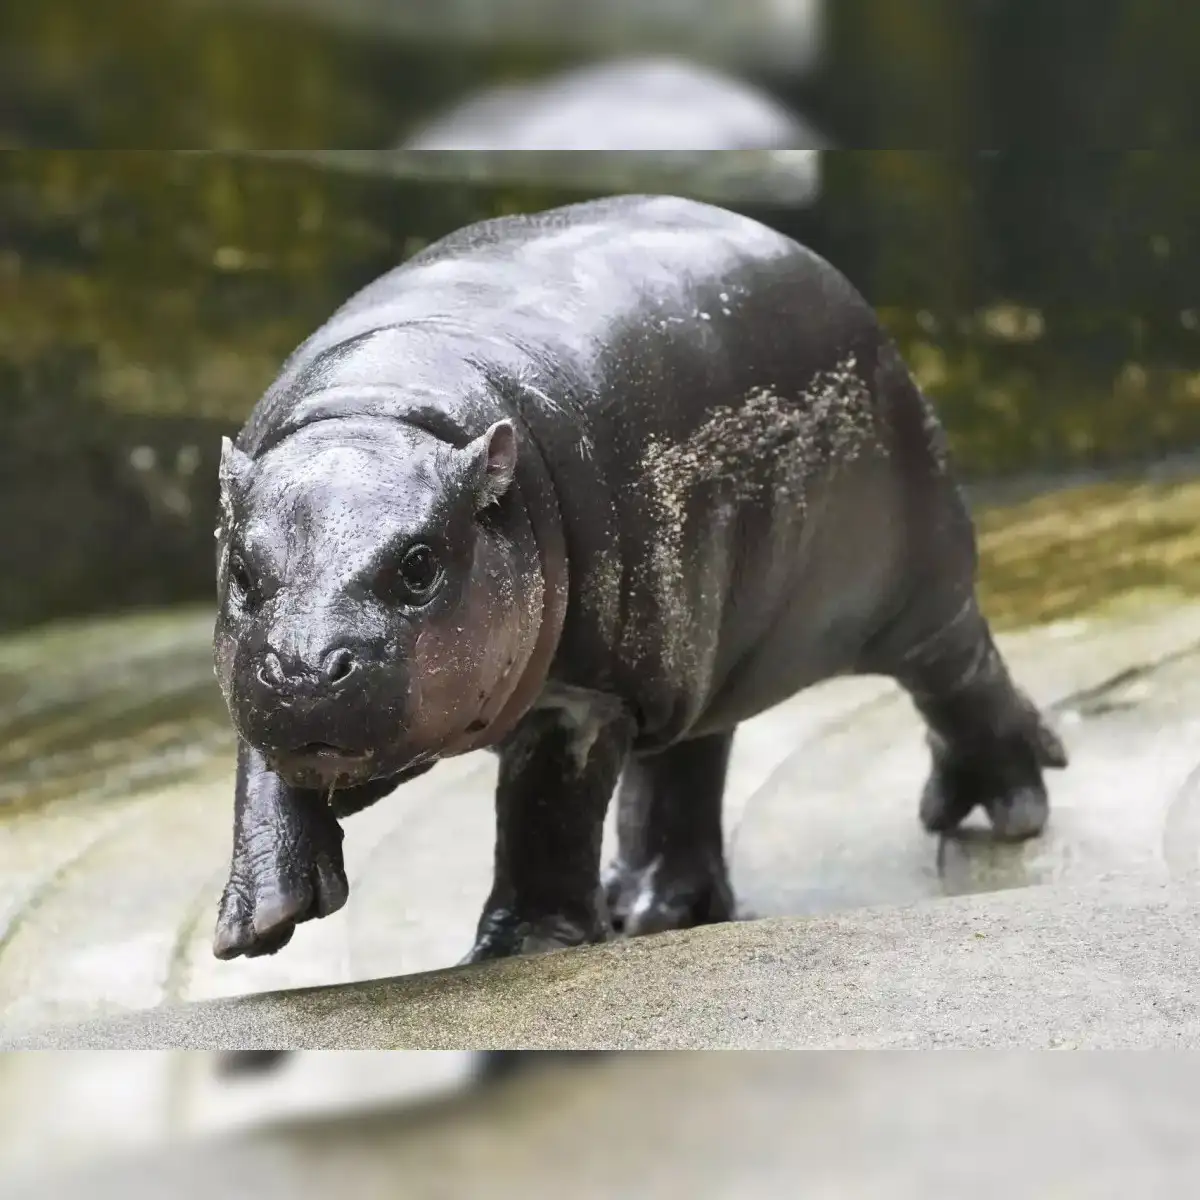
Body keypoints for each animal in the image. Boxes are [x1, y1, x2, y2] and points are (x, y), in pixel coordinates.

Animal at [210, 193, 1067, 968]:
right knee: (686, 764)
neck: (384, 410)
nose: (306, 670)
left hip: (911, 588)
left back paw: (1005, 809)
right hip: (704, 650)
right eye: (242, 569)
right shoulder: (258, 679)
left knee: (960, 671)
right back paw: (652, 909)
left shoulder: (591, 694)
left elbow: (546, 815)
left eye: (420, 563)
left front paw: (519, 950)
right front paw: (258, 922)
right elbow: (262, 773)